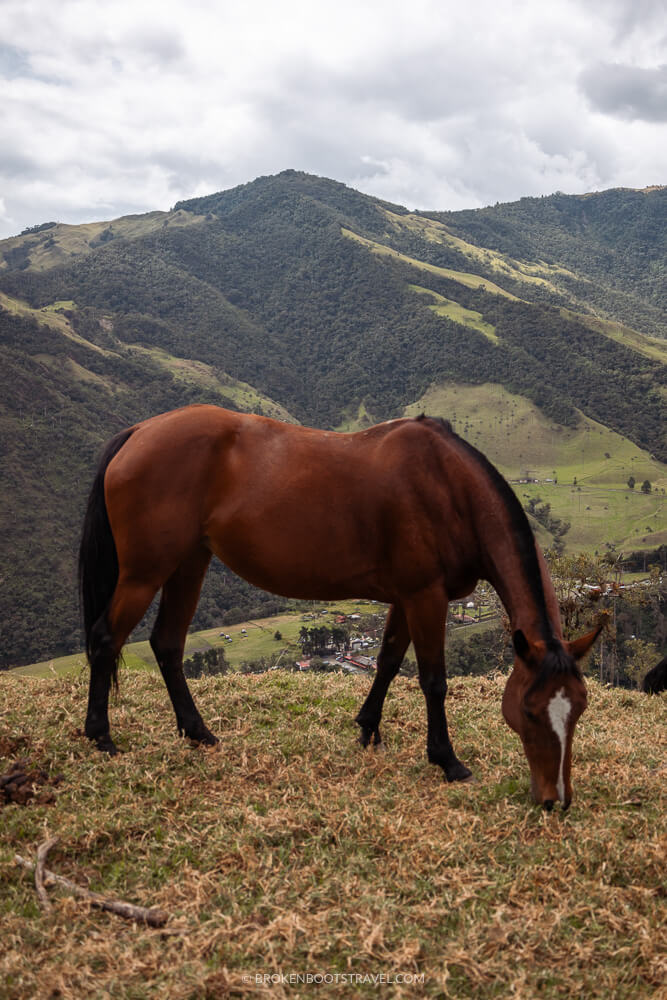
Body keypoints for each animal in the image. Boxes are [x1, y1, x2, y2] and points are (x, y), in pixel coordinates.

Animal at [78, 402, 600, 808]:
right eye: (529, 712)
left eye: (578, 710)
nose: (555, 800)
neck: (449, 487)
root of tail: (140, 431)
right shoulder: (426, 597)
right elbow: (433, 682)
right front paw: (447, 759)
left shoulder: (407, 599)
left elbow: (387, 662)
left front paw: (368, 728)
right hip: (145, 573)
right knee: (106, 639)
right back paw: (100, 734)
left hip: (189, 563)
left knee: (167, 644)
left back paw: (197, 732)